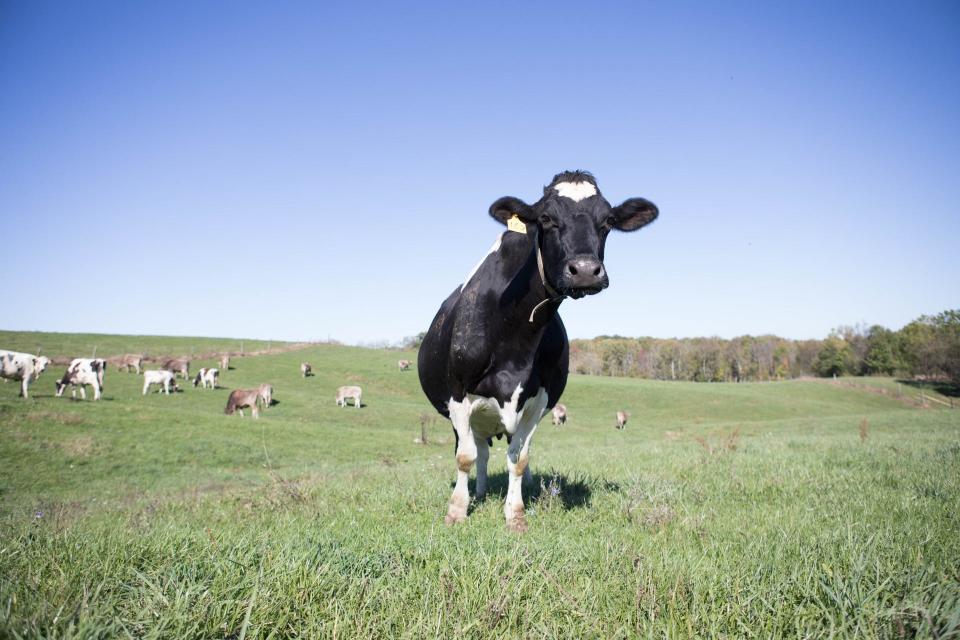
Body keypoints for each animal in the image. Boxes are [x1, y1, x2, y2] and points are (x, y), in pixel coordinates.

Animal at [420, 169, 660, 528]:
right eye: (546, 218)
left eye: (608, 221)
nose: (585, 270)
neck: (516, 335)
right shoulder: (458, 394)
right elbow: (464, 457)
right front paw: (457, 511)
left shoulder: (539, 398)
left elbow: (519, 458)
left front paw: (516, 514)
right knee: (480, 452)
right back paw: (479, 492)